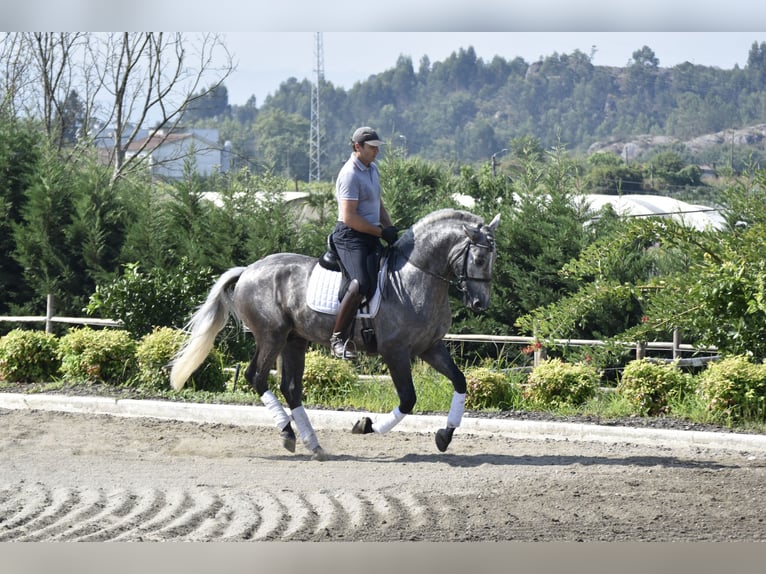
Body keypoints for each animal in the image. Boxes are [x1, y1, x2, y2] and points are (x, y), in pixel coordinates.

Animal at [170, 208, 500, 460]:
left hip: (294, 340)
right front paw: (366, 426)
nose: (480, 304)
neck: (415, 276)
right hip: (271, 336)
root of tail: (248, 270)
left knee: (291, 388)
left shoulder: (429, 347)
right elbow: (408, 399)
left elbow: (459, 381)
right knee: (257, 377)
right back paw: (287, 434)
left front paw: (444, 435)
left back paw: (313, 445)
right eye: (479, 260)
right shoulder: (395, 352)